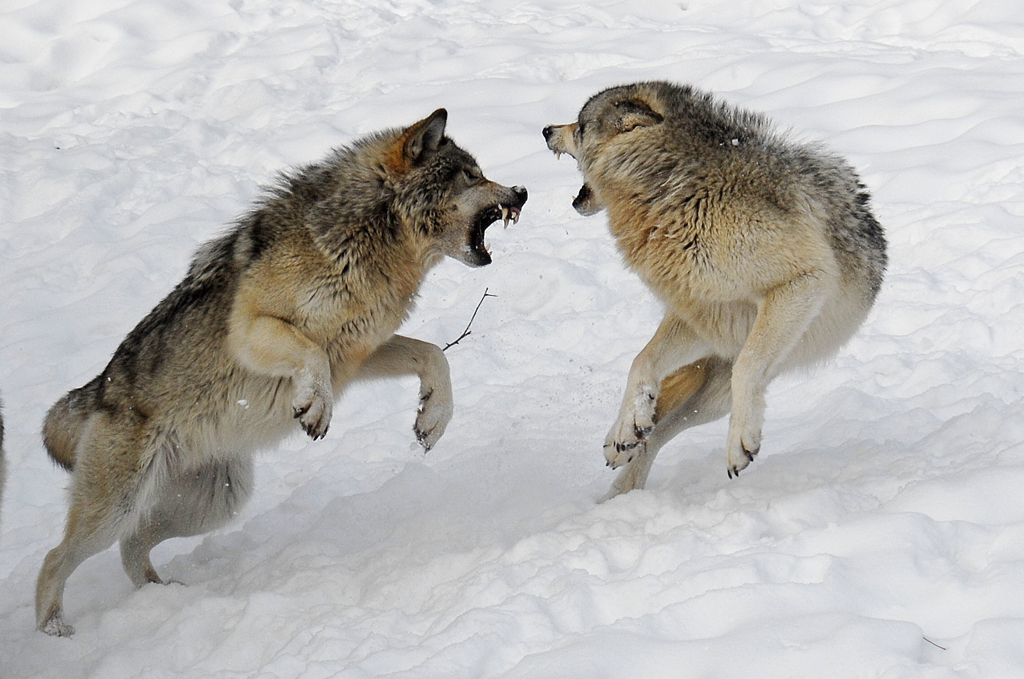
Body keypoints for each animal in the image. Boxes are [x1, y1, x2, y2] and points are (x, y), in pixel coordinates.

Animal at [32, 109, 528, 634]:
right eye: (472, 176)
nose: (521, 192)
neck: (371, 241)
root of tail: (99, 391)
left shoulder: (357, 353)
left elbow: (434, 354)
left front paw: (433, 419)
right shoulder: (253, 329)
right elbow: (310, 354)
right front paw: (315, 408)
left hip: (216, 503)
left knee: (132, 545)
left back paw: (161, 595)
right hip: (116, 508)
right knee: (55, 558)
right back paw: (55, 631)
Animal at [544, 82, 888, 501]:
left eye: (578, 126)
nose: (546, 130)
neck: (673, 191)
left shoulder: (801, 280)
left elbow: (747, 366)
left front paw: (740, 443)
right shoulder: (704, 312)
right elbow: (640, 363)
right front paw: (627, 429)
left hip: (717, 397)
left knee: (668, 426)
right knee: (657, 420)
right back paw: (620, 450)